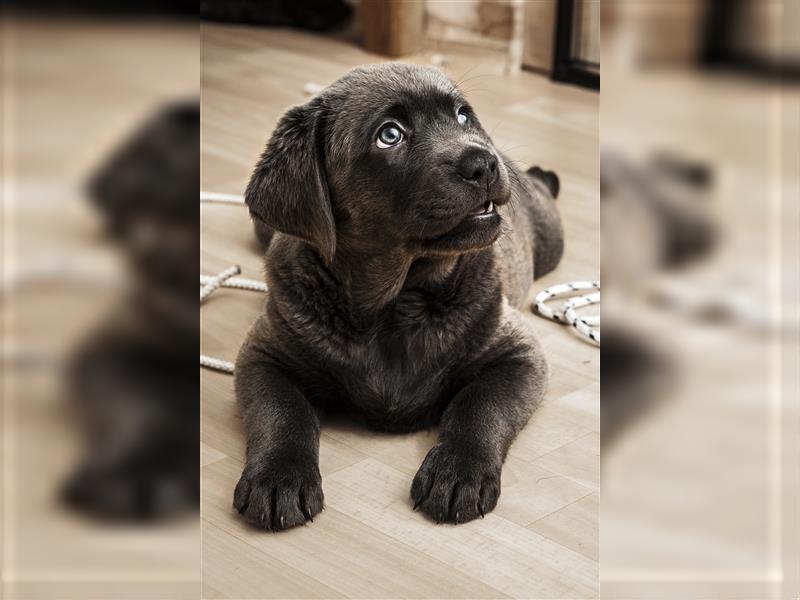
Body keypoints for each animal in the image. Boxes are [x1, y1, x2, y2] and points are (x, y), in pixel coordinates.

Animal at [234, 64, 564, 528]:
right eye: (389, 135)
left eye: (463, 115)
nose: (484, 163)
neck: (400, 301)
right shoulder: (264, 356)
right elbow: (281, 413)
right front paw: (278, 478)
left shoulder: (518, 354)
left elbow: (479, 406)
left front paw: (456, 472)